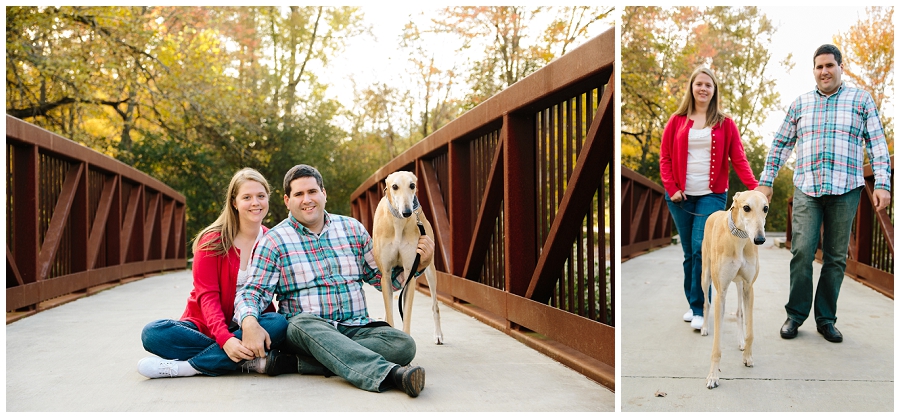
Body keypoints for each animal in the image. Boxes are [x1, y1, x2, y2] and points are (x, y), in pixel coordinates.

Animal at [370, 171, 444, 344]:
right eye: (394, 186)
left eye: (412, 185)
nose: (407, 212)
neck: (398, 223)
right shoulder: (386, 275)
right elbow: (390, 314)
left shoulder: (410, 273)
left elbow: (407, 317)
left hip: (430, 270)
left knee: (435, 305)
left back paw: (438, 334)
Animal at [704, 191, 768, 390]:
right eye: (746, 207)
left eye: (766, 208)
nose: (759, 239)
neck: (739, 239)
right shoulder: (721, 293)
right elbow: (716, 346)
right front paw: (713, 376)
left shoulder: (749, 288)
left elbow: (750, 331)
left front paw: (747, 356)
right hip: (705, 275)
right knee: (705, 302)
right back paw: (703, 327)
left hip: (739, 285)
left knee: (740, 312)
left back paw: (741, 342)